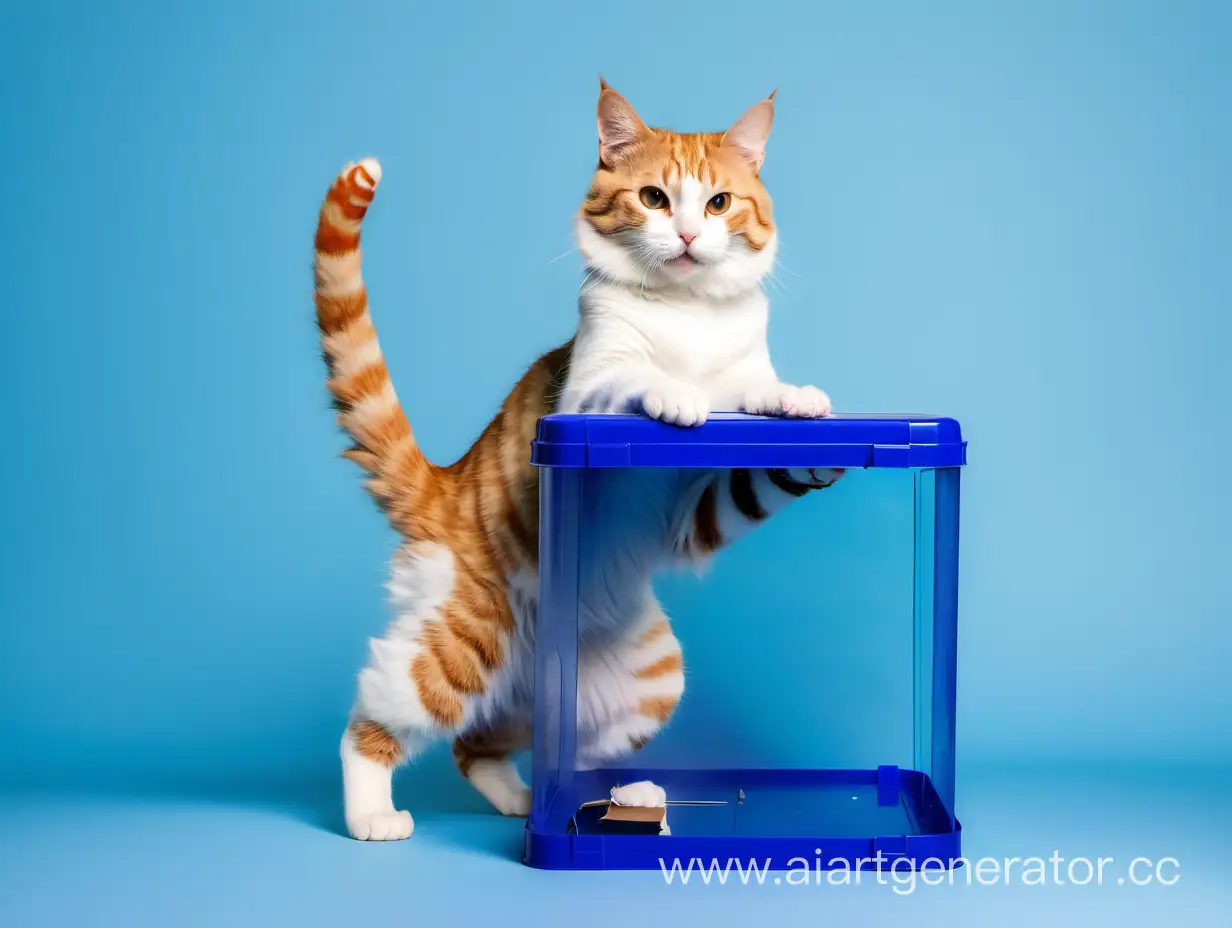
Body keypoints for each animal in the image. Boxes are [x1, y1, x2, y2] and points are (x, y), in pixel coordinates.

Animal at [312, 83, 842, 838]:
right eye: (653, 198)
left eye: (718, 203)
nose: (687, 235)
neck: (690, 318)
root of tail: (447, 481)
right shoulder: (590, 384)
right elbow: (641, 379)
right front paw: (676, 396)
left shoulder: (697, 511)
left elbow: (755, 408)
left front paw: (803, 415)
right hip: (459, 646)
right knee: (374, 719)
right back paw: (374, 816)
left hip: (645, 678)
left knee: (506, 747)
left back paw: (574, 800)